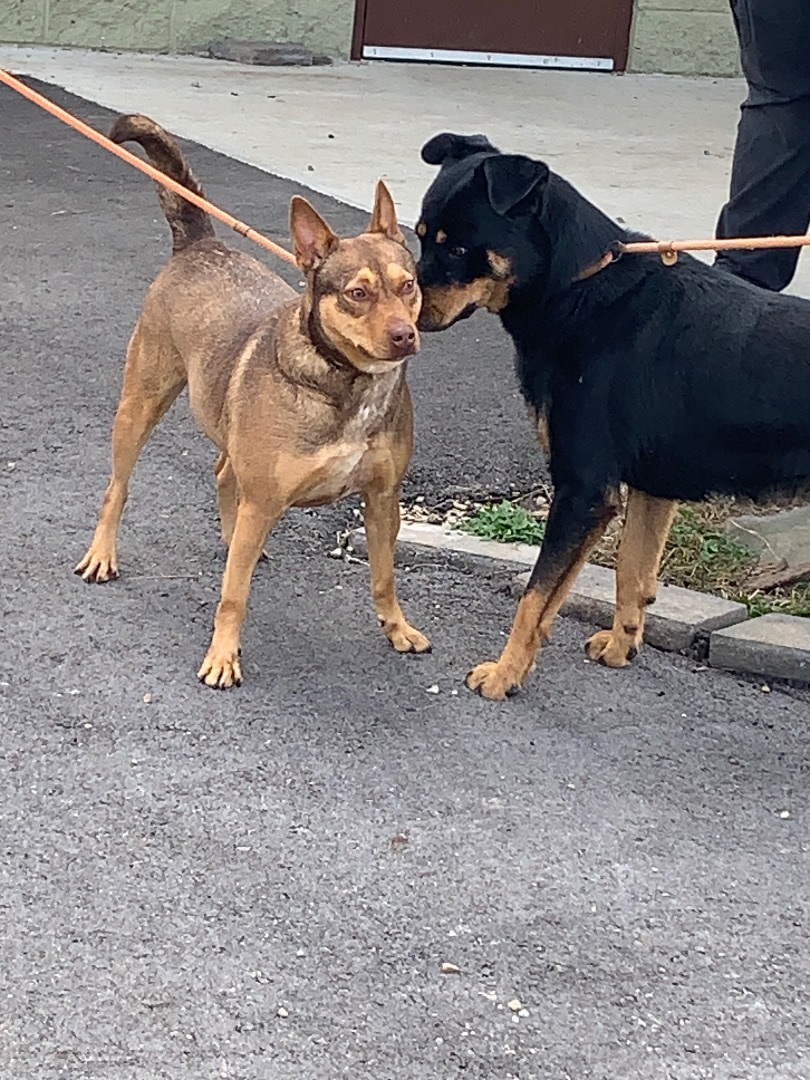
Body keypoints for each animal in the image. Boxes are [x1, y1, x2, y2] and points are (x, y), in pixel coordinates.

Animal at [76, 118, 432, 686]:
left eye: (409, 286)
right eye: (357, 294)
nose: (405, 336)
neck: (346, 384)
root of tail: (200, 244)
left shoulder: (382, 500)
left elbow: (384, 578)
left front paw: (397, 629)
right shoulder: (265, 500)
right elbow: (233, 596)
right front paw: (222, 657)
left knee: (224, 474)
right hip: (139, 405)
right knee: (118, 488)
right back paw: (102, 554)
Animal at [414, 132, 810, 699]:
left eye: (459, 249)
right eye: (421, 237)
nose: (404, 320)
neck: (577, 287)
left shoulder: (583, 491)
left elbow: (535, 597)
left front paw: (505, 674)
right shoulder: (650, 489)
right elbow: (631, 573)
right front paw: (621, 648)